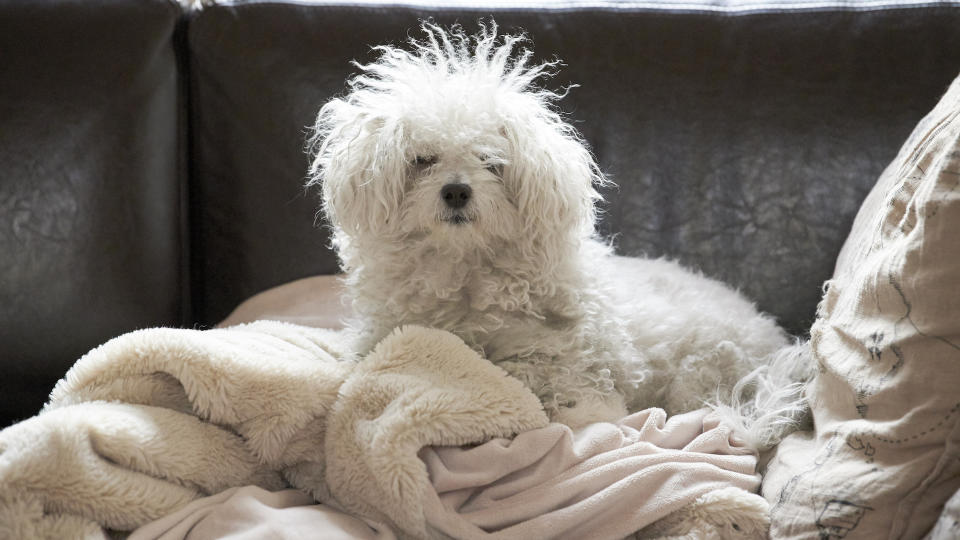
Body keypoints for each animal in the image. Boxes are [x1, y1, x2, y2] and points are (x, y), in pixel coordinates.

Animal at [310, 21, 804, 436]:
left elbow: (550, 382)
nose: (456, 192)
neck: (464, 270)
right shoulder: (385, 332)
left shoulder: (570, 364)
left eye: (492, 162)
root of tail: (771, 339)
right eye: (422, 160)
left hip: (700, 370)